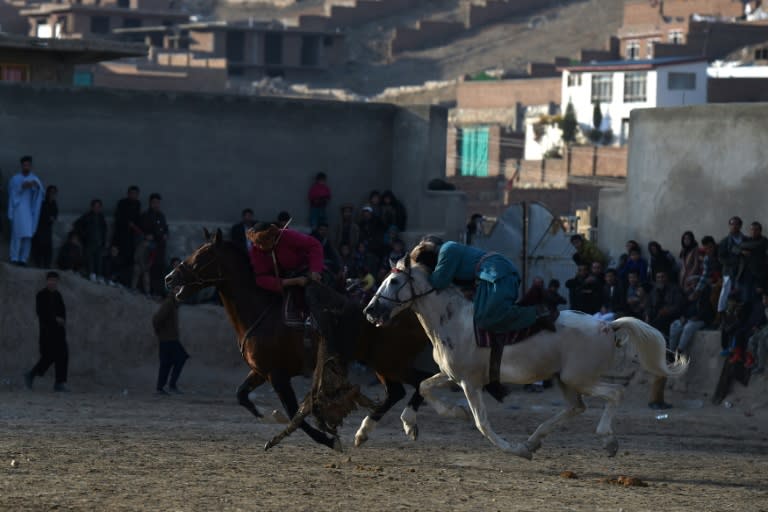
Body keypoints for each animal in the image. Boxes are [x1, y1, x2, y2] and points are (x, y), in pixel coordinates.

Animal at [165, 230, 440, 450]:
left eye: (201, 255)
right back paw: (365, 432)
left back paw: (408, 422)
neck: (263, 311)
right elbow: (241, 394)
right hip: (382, 364)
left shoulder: (277, 375)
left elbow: (294, 412)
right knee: (397, 391)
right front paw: (269, 416)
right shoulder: (261, 371)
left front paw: (328, 440)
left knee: (419, 382)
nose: (169, 278)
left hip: (391, 363)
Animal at [362, 244, 688, 460]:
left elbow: (481, 422)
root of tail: (607, 325)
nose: (370, 310)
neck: (452, 319)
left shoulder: (469, 382)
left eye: (394, 280)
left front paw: (513, 448)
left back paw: (606, 441)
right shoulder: (451, 375)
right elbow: (423, 386)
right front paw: (413, 425)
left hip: (579, 378)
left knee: (614, 394)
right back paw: (534, 440)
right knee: (576, 407)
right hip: (564, 380)